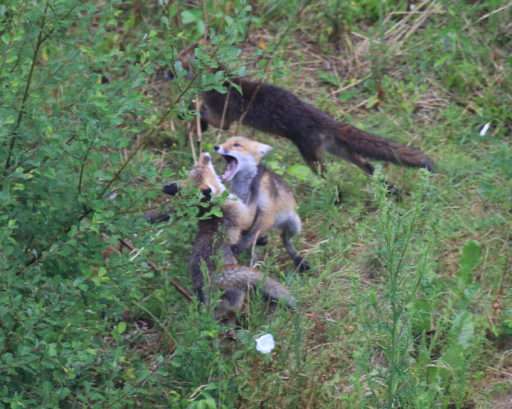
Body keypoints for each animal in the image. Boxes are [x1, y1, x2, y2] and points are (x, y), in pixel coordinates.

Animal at [162, 151, 294, 324]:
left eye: (197, 167)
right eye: (202, 168)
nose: (204, 153)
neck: (212, 211)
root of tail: (211, 281)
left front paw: (261, 240)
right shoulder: (245, 214)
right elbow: (253, 198)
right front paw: (257, 178)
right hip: (238, 295)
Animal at [174, 43, 434, 180]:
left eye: (178, 63)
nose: (166, 72)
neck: (220, 83)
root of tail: (325, 119)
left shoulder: (225, 114)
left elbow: (204, 112)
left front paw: (188, 114)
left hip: (312, 153)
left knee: (331, 175)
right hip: (336, 149)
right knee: (367, 165)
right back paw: (389, 190)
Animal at [213, 135, 308, 272]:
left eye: (236, 145)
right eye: (225, 142)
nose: (216, 146)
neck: (246, 185)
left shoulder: (267, 213)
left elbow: (249, 237)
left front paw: (237, 249)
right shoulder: (243, 208)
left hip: (294, 224)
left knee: (285, 239)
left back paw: (297, 259)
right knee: (257, 247)